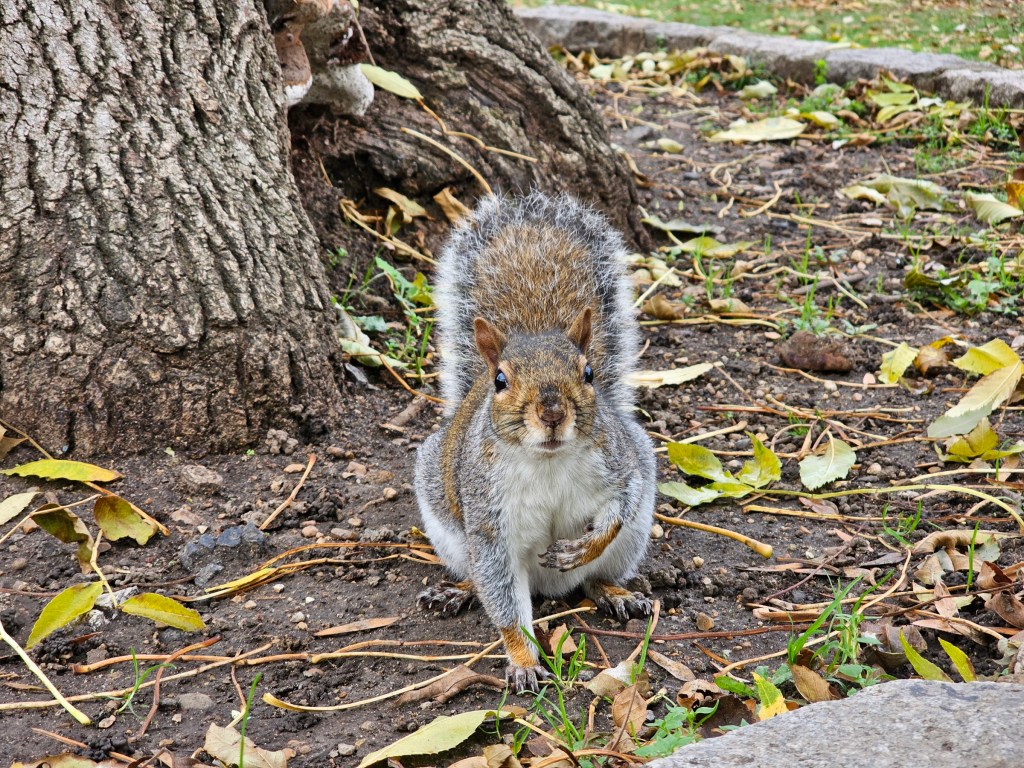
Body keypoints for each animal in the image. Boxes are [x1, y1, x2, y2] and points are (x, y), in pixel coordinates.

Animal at [414, 192, 656, 692]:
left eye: (587, 373)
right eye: (500, 380)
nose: (552, 413)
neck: (548, 461)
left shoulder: (620, 462)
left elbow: (623, 501)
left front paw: (585, 545)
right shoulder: (488, 520)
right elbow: (503, 598)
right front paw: (524, 660)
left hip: (636, 530)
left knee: (596, 576)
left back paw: (615, 591)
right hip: (448, 529)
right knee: (480, 579)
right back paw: (457, 591)